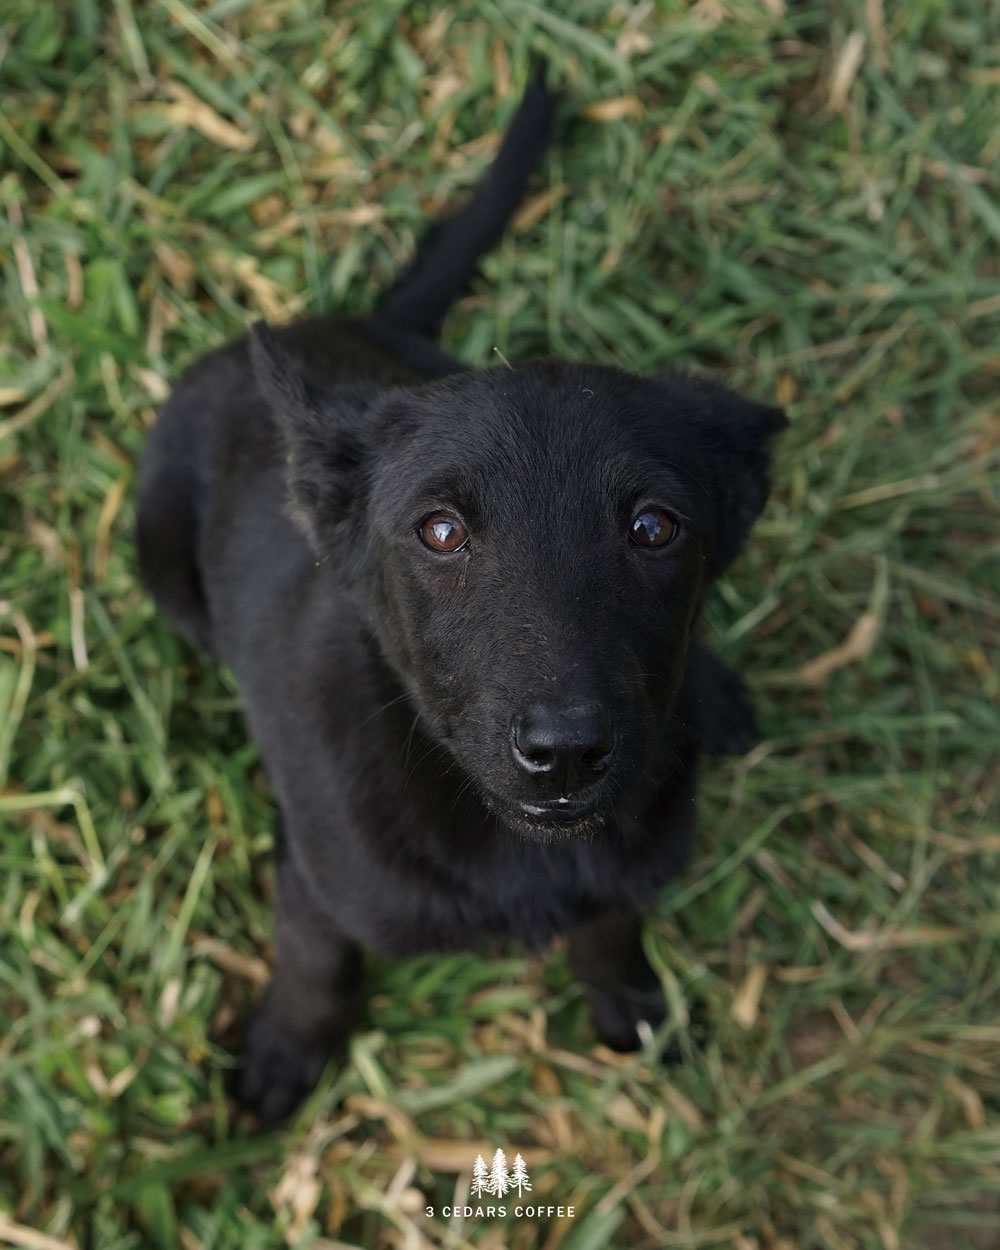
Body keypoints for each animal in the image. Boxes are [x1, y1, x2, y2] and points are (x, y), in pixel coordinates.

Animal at [137, 72, 784, 1126]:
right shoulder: (315, 879)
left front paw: (628, 998)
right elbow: (315, 962)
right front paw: (287, 1051)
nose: (566, 752)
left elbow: (610, 924)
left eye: (655, 528)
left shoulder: (621, 873)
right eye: (440, 532)